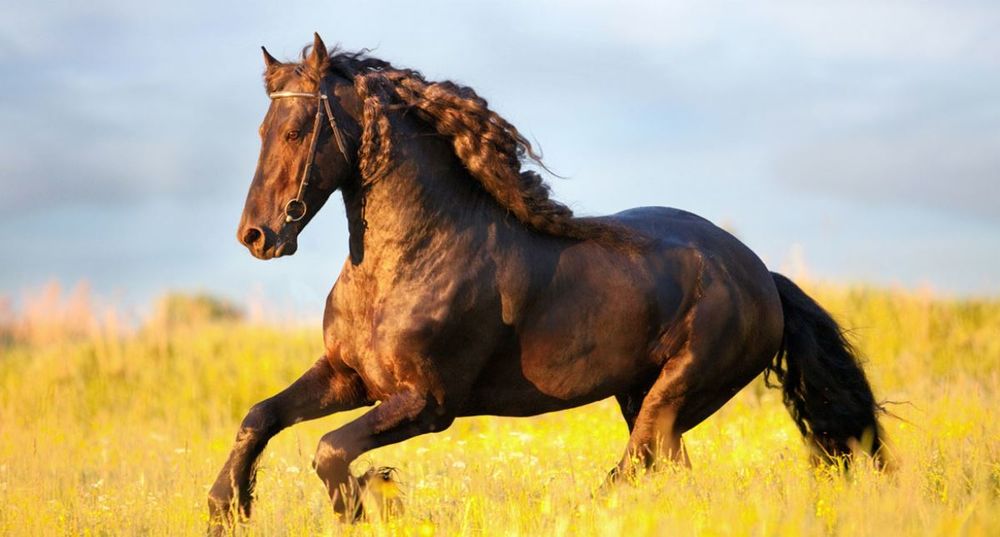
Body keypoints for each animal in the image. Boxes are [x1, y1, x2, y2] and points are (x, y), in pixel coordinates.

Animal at [207, 32, 888, 528]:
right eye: (263, 132)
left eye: (296, 131)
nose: (256, 236)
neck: (406, 263)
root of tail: (761, 276)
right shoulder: (349, 377)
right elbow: (260, 417)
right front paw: (226, 507)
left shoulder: (428, 403)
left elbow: (329, 450)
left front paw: (373, 498)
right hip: (643, 397)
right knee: (666, 472)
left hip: (676, 393)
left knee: (634, 467)